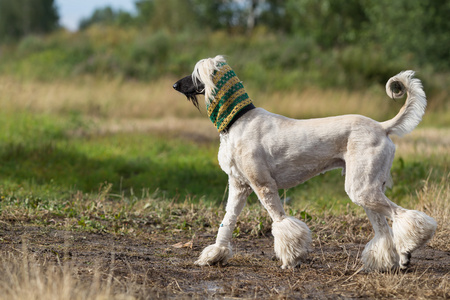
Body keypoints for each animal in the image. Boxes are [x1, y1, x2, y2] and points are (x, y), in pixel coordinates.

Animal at [172, 55, 436, 270]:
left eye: (196, 74)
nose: (175, 85)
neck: (238, 120)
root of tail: (382, 127)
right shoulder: (239, 186)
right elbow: (226, 224)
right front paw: (214, 255)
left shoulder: (263, 186)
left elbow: (280, 222)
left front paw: (291, 260)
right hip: (367, 188)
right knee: (384, 230)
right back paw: (389, 262)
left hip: (362, 188)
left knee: (402, 215)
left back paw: (407, 253)